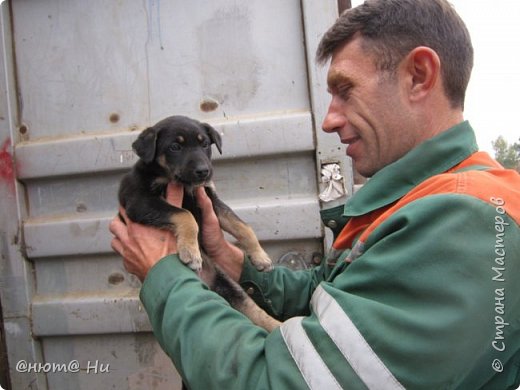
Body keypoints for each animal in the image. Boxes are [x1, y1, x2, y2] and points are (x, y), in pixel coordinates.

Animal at [119, 116, 280, 332]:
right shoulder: (140, 201)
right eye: (175, 146)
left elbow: (243, 226)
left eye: (204, 144)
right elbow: (185, 215)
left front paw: (261, 257)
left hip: (230, 286)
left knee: (254, 310)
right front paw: (190, 251)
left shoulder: (211, 199)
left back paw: (280, 325)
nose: (204, 171)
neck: (184, 185)